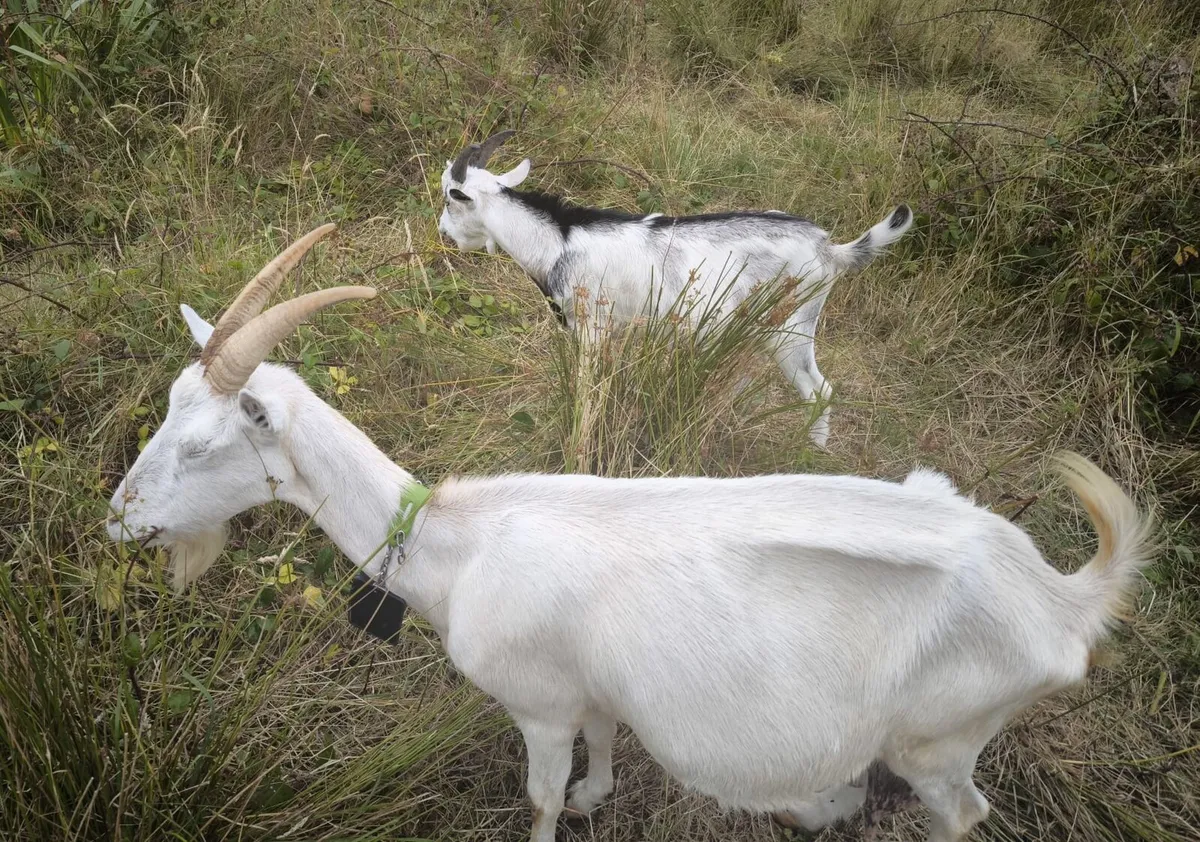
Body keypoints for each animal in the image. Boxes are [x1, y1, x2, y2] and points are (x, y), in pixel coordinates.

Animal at [108, 225, 1155, 842]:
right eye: (165, 408)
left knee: (965, 811)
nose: (123, 517)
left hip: (943, 739)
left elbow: (535, 795)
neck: (457, 545)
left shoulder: (535, 703)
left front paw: (558, 811)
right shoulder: (587, 684)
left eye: (201, 443)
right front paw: (597, 796)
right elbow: (606, 739)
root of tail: (1063, 598)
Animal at [437, 131, 914, 447]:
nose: (443, 232)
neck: (558, 242)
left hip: (791, 327)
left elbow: (588, 391)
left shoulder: (593, 327)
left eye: (448, 198)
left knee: (818, 389)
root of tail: (829, 249)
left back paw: (809, 452)